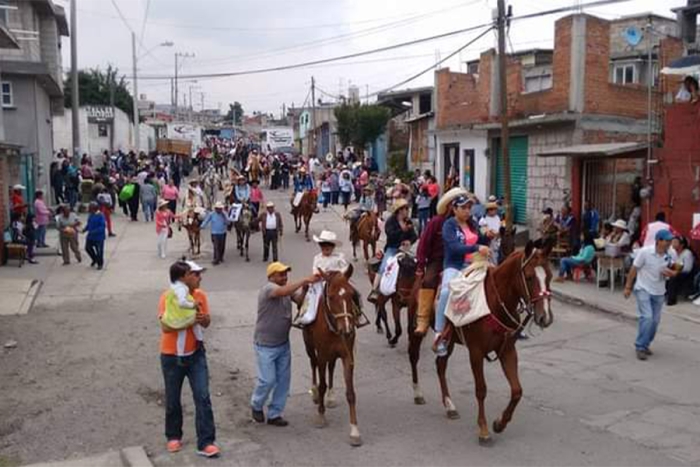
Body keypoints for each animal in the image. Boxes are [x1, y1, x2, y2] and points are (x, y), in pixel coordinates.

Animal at [302, 266, 364, 446]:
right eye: (330, 296)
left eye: (351, 295)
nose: (347, 329)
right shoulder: (322, 354)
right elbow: (322, 382)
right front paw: (321, 415)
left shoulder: (347, 356)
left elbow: (350, 393)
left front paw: (354, 430)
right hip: (309, 346)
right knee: (313, 363)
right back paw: (315, 392)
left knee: (331, 367)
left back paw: (330, 396)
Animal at [434, 241, 556, 446]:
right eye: (529, 277)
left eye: (549, 276)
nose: (545, 317)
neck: (494, 303)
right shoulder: (475, 352)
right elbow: (481, 390)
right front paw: (483, 430)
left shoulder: (507, 350)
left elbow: (517, 390)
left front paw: (500, 423)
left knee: (440, 364)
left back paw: (449, 406)